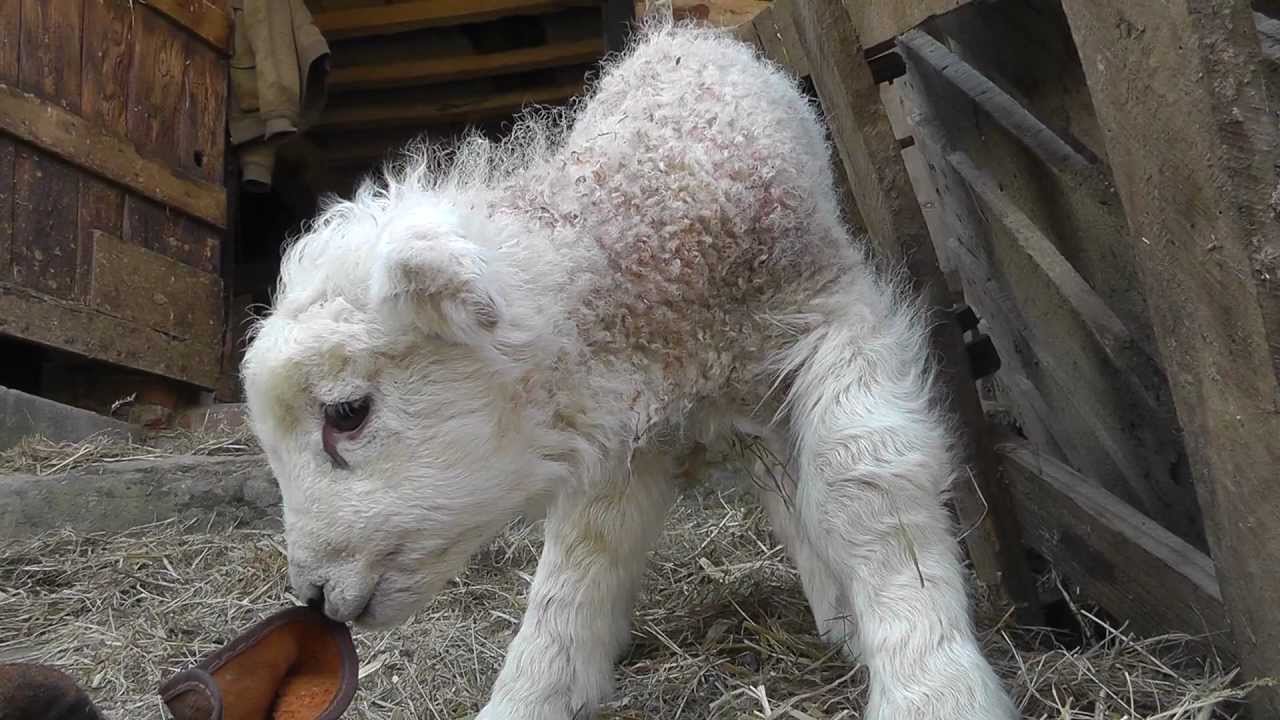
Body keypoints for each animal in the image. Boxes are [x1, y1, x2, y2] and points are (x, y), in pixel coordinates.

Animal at [241, 20, 1017, 720]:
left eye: (346, 413)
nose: (313, 595)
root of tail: (678, 33)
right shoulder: (624, 419)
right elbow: (583, 560)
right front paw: (532, 693)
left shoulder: (834, 313)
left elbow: (867, 479)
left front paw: (934, 687)